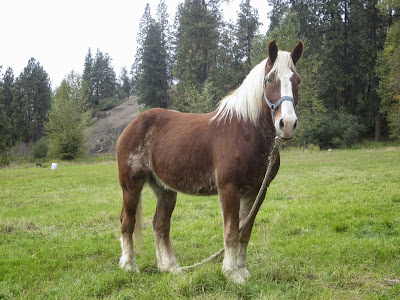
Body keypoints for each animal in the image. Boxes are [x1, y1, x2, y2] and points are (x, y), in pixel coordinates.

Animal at [115, 39, 304, 284]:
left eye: (296, 80)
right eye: (270, 79)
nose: (287, 124)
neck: (245, 131)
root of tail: (132, 125)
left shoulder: (256, 192)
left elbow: (245, 231)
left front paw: (242, 270)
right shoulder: (229, 189)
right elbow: (231, 231)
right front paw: (232, 273)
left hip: (165, 189)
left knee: (160, 225)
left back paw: (170, 267)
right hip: (131, 185)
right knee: (127, 222)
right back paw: (130, 266)